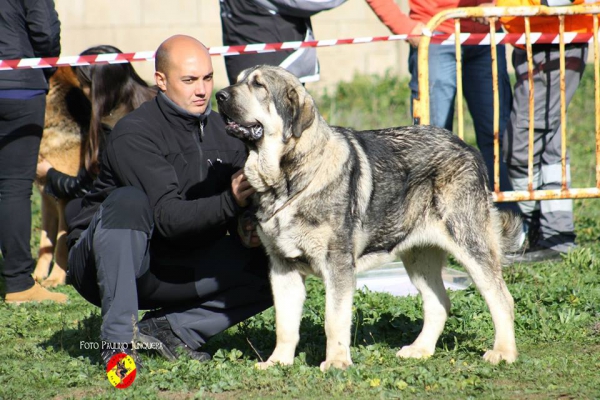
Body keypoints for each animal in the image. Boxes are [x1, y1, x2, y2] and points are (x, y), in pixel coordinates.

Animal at [32, 68, 89, 288]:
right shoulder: (47, 201)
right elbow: (45, 244)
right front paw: (37, 277)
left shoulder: (65, 200)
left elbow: (61, 245)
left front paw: (56, 278)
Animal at [216, 66, 520, 372]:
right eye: (239, 80)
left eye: (259, 86)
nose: (219, 95)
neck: (288, 182)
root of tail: (467, 147)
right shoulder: (283, 268)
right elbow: (285, 324)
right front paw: (278, 362)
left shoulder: (337, 265)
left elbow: (334, 319)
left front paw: (336, 362)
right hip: (418, 258)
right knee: (439, 303)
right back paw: (420, 350)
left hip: (470, 246)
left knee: (501, 298)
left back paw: (503, 353)